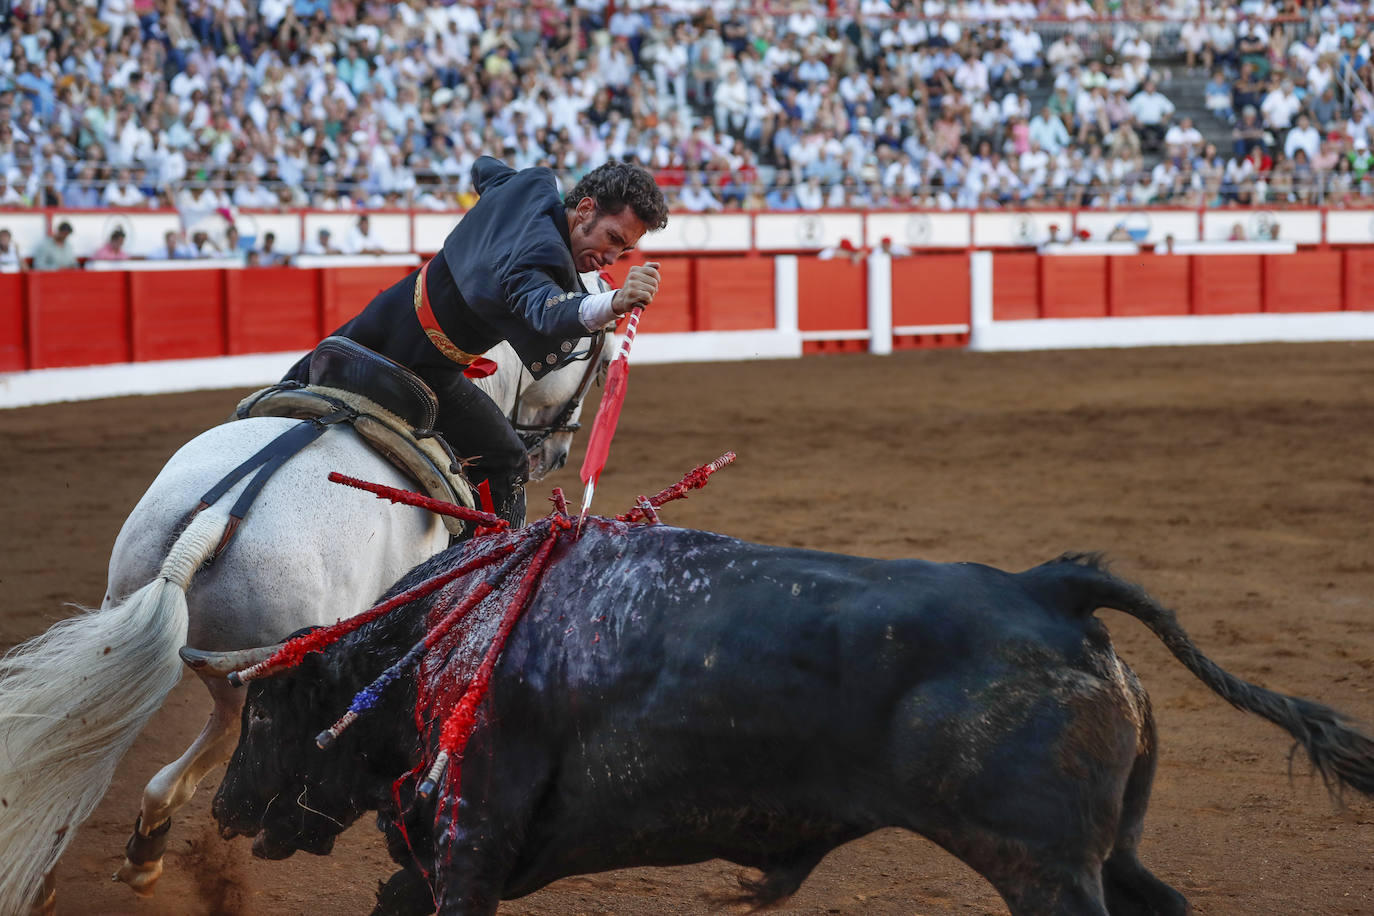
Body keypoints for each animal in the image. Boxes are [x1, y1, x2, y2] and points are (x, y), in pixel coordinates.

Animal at [0, 339, 607, 916]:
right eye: (593, 364)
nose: (557, 451)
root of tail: (214, 521)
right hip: (250, 678)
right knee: (209, 744)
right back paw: (141, 858)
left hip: (123, 624)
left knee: (82, 739)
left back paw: (46, 881)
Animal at [211, 521, 1374, 916]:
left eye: (265, 710)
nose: (221, 810)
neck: (448, 637)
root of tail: (1047, 589)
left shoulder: (473, 836)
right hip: (1104, 849)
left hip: (1043, 865)